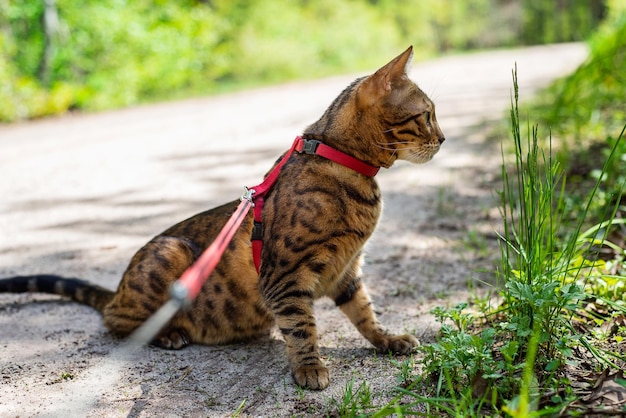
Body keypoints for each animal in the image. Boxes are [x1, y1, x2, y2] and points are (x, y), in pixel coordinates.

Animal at [0, 47, 444, 390]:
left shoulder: (347, 269)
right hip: (169, 253)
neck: (346, 165)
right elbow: (302, 326)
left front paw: (387, 339)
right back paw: (168, 333)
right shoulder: (286, 274)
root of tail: (118, 290)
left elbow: (365, 312)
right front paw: (309, 367)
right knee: (116, 321)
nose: (443, 138)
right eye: (426, 115)